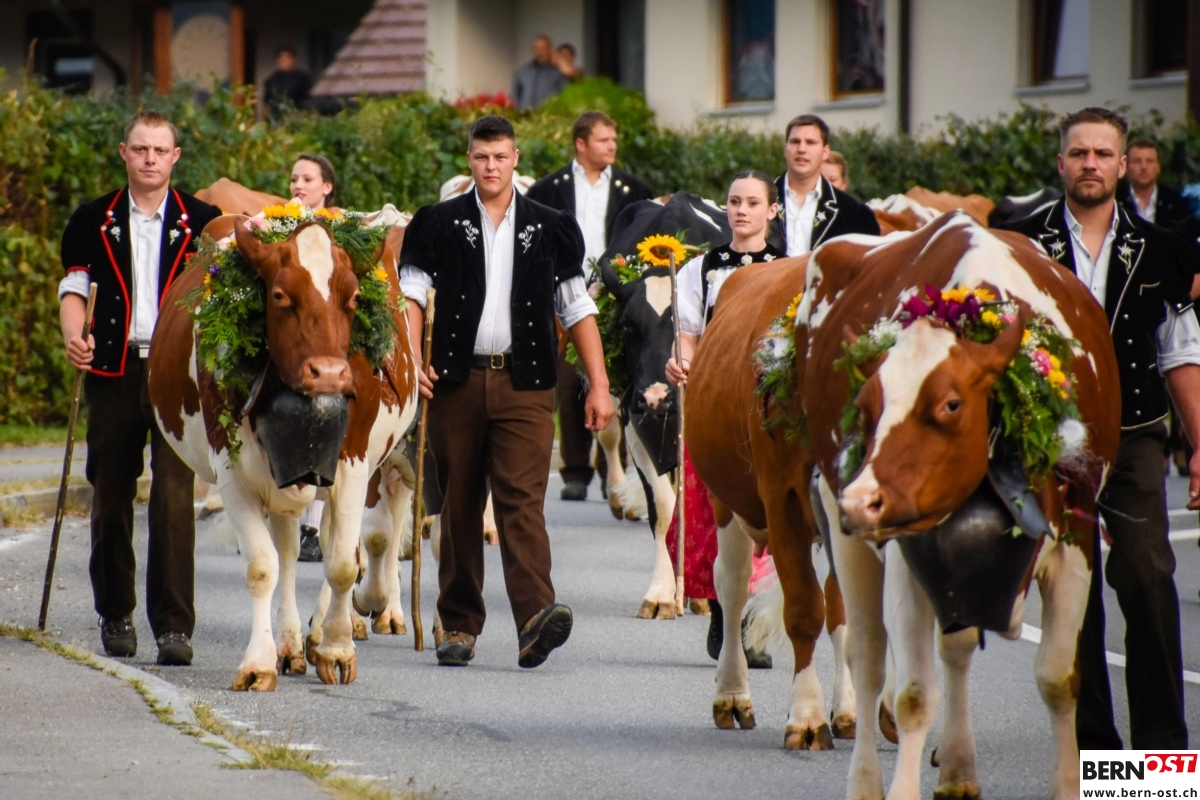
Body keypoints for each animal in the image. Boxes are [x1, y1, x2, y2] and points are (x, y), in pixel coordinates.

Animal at [149, 216, 418, 690]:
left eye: (353, 298)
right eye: (279, 295)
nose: (328, 373)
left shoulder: (353, 466)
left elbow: (343, 563)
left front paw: (337, 649)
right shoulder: (233, 471)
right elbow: (263, 566)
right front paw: (258, 662)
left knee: (342, 543)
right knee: (290, 552)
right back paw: (291, 643)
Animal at [595, 192, 731, 619]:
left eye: (683, 326)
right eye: (626, 325)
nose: (656, 396)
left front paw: (701, 591)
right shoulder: (635, 425)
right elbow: (665, 509)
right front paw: (661, 593)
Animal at [798, 212, 1119, 799]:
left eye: (949, 404)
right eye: (865, 406)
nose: (863, 499)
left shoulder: (1077, 541)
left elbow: (1058, 678)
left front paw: (1064, 784)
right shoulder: (905, 551)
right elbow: (913, 694)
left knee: (957, 650)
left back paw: (958, 769)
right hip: (841, 526)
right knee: (869, 657)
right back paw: (865, 782)